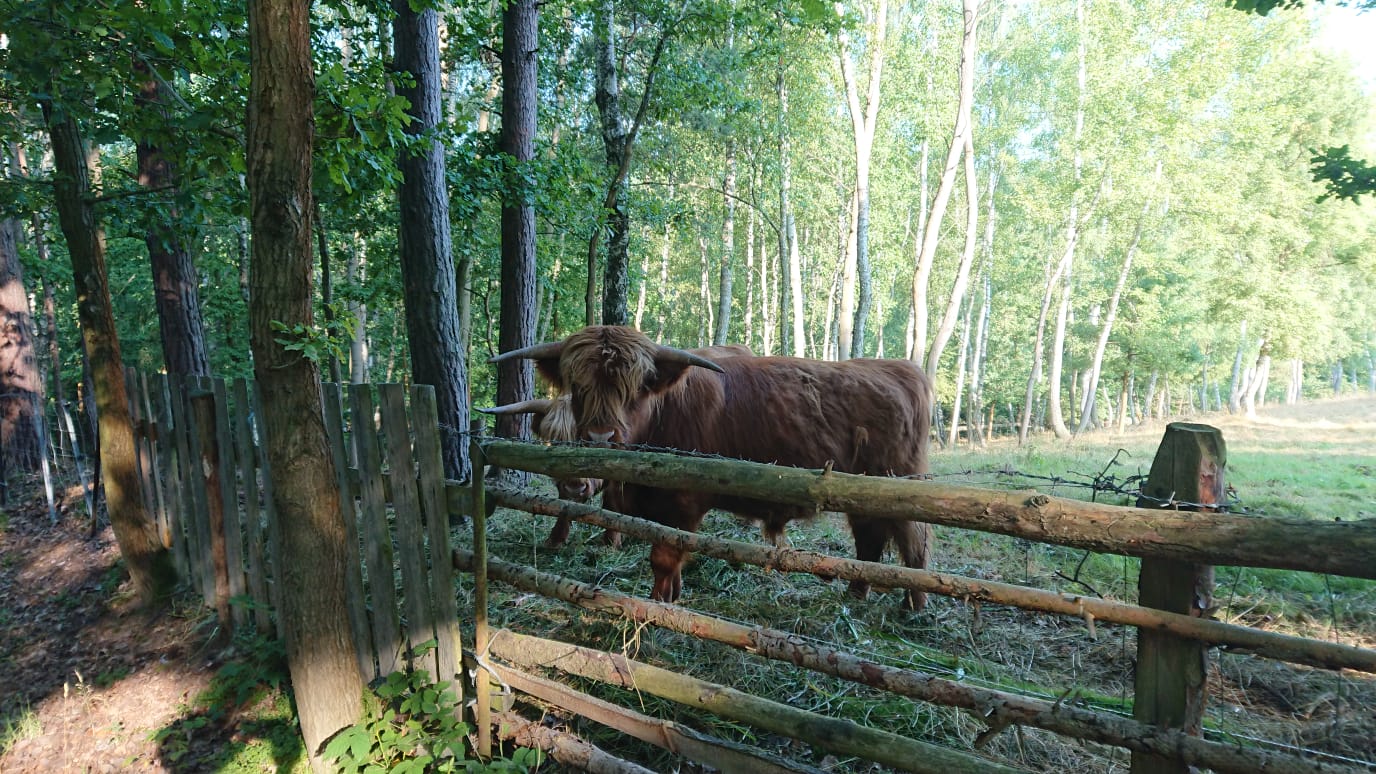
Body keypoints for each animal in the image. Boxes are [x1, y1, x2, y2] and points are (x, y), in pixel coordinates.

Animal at [482, 344, 754, 549]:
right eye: (556, 440)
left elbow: (613, 498)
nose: (576, 485)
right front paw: (556, 538)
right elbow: (564, 503)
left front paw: (611, 541)